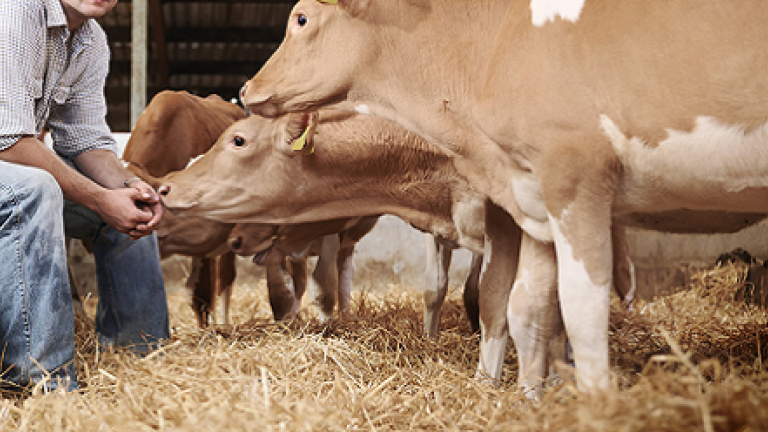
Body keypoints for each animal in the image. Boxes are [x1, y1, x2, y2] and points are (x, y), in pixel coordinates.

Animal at [159, 109, 637, 387]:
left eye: (238, 140)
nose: (166, 186)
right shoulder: (443, 230)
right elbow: (438, 290)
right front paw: (432, 341)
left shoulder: (507, 225)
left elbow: (497, 300)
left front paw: (495, 378)